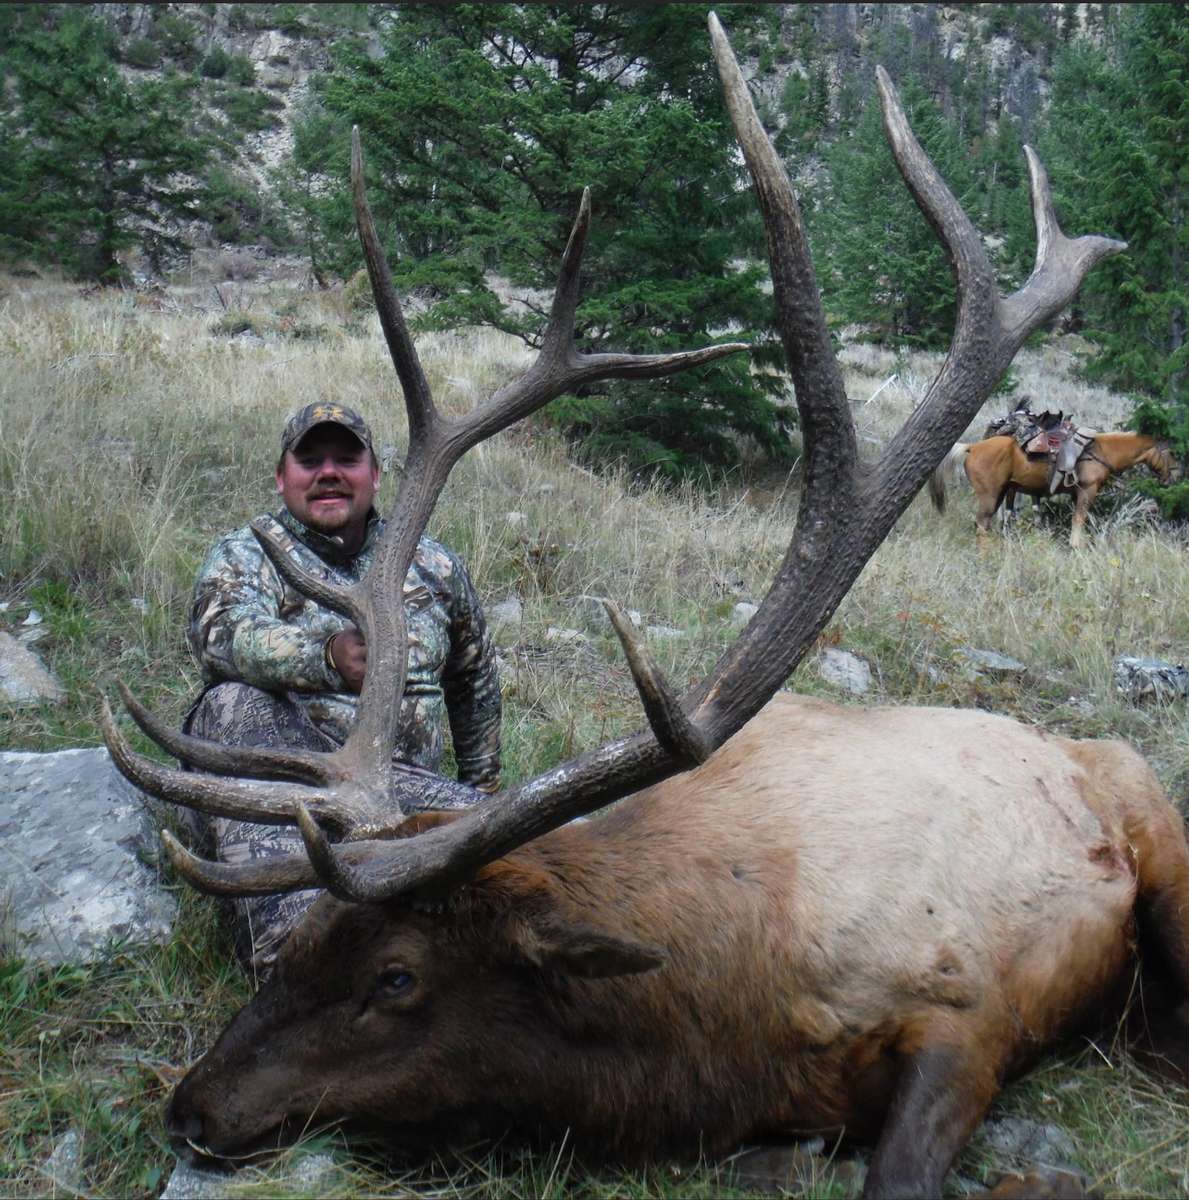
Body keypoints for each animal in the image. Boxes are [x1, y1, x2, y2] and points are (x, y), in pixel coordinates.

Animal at [100, 14, 1189, 1199]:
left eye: (395, 977)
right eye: (298, 947)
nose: (191, 1108)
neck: (721, 1020)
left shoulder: (967, 1013)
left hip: (1158, 829)